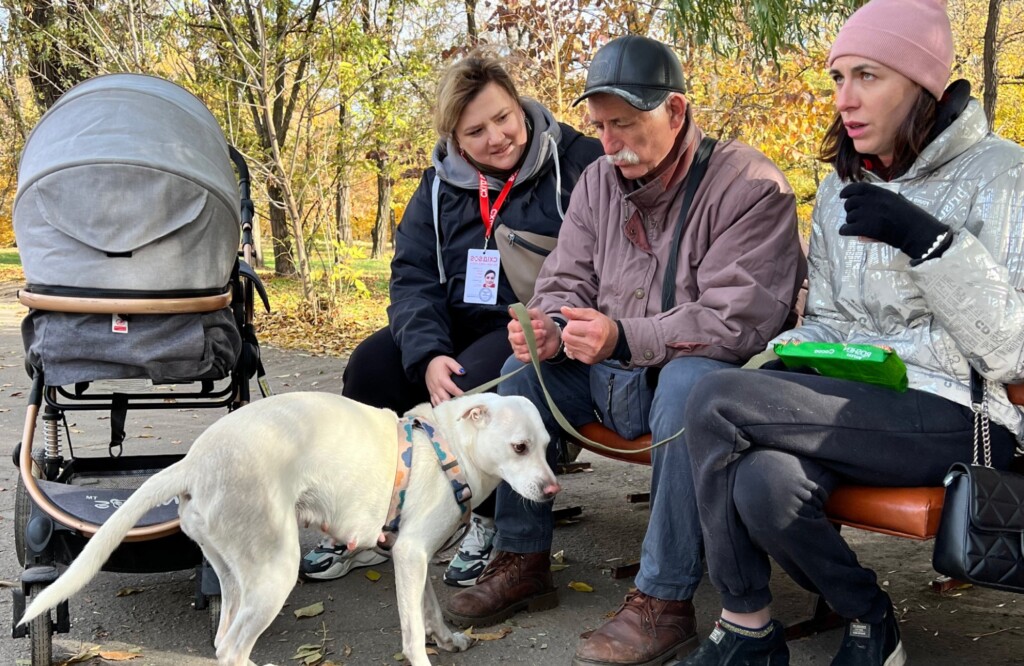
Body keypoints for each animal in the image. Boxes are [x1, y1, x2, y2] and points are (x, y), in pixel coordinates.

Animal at [18, 391, 561, 663]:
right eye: (519, 448)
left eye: (547, 445)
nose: (552, 491)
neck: (448, 446)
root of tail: (193, 462)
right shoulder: (410, 556)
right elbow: (410, 633)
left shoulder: (415, 556)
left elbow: (427, 611)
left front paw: (447, 641)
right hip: (276, 571)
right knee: (232, 648)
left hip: (235, 574)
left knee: (222, 640)